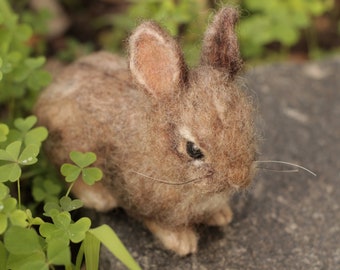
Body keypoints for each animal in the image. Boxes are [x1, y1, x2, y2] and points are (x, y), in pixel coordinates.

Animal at [35, 6, 258, 255]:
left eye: (246, 125)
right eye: (193, 150)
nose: (239, 179)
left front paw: (221, 215)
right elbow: (155, 222)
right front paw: (182, 242)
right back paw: (100, 198)